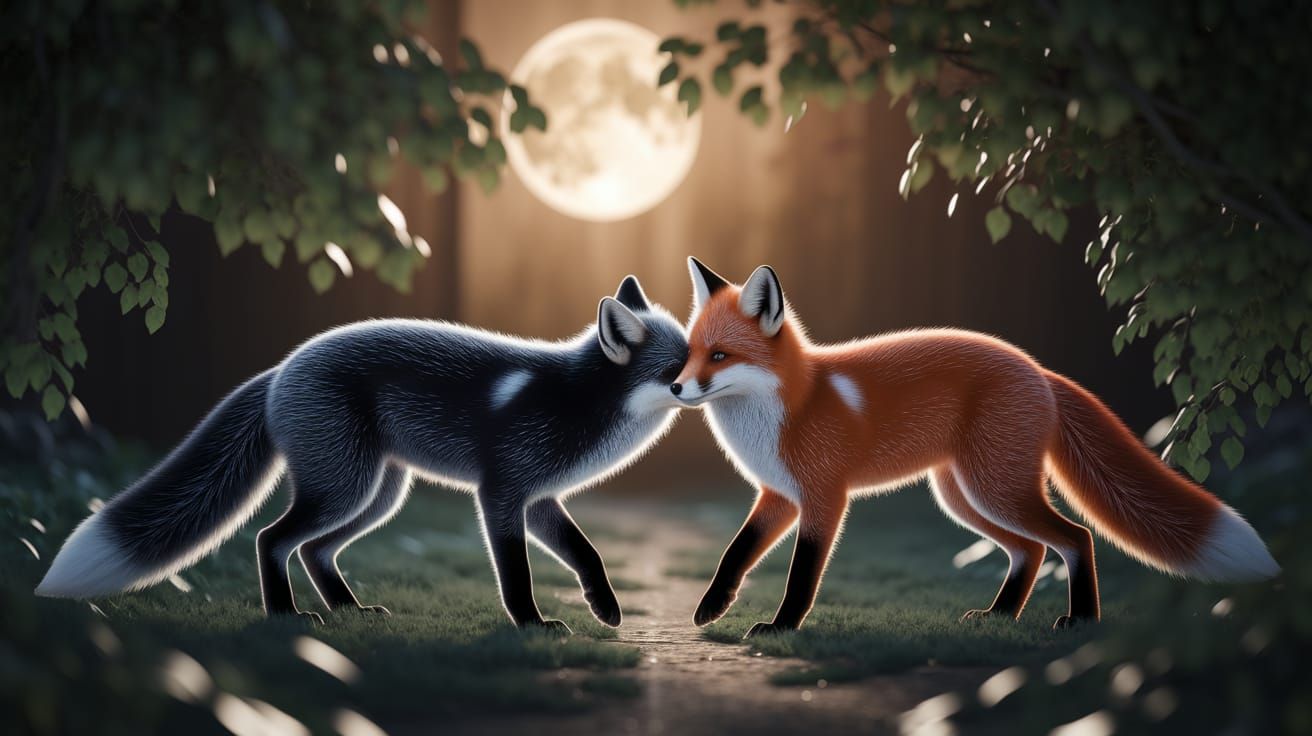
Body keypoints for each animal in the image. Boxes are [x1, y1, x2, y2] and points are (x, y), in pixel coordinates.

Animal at [36, 276, 689, 632]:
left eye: (704, 350)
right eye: (679, 367)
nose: (707, 385)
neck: (577, 401)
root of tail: (281, 367)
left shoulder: (540, 499)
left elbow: (587, 555)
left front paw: (605, 610)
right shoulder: (501, 493)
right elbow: (516, 575)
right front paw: (531, 625)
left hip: (378, 496)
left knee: (314, 551)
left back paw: (347, 611)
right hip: (345, 490)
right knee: (270, 539)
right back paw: (285, 618)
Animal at [674, 257, 1279, 636]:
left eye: (720, 356)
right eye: (689, 352)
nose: (676, 388)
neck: (788, 408)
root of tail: (1038, 369)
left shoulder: (824, 497)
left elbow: (801, 576)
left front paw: (781, 628)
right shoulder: (778, 495)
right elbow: (735, 552)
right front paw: (712, 607)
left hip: (995, 491)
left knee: (1076, 537)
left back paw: (1081, 621)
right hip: (963, 496)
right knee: (1031, 550)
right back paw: (1000, 617)